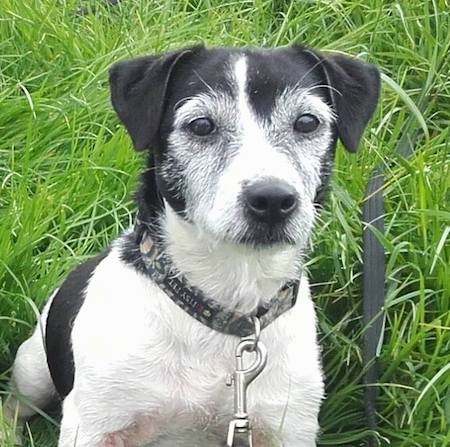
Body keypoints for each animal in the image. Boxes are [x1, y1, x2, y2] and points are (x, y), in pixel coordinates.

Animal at [5, 43, 382, 446]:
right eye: (201, 125)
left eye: (307, 122)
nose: (272, 199)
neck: (223, 309)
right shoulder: (96, 425)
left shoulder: (286, 425)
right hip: (33, 365)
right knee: (15, 404)